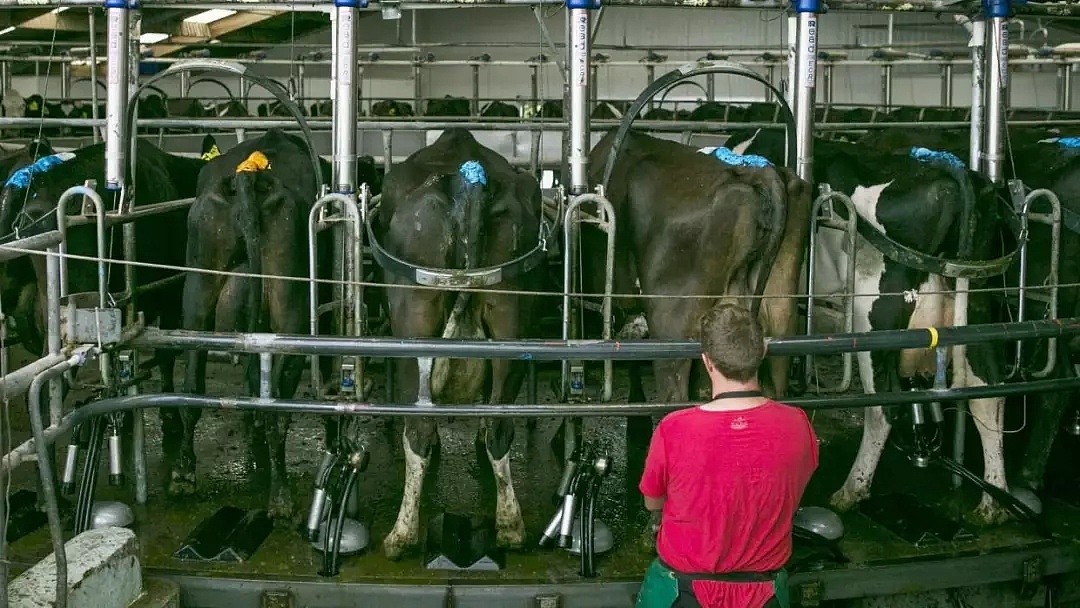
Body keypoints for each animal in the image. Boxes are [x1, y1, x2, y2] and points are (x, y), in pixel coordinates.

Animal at [179, 127, 334, 518]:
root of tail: (248, 176)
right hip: (290, 308)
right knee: (276, 406)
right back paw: (279, 496)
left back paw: (183, 474)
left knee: (191, 386)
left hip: (198, 286)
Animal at [373, 128, 548, 561]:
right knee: (500, 426)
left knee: (417, 431)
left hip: (415, 329)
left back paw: (401, 535)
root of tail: (468, 182)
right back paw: (510, 527)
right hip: (510, 323)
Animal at [725, 127, 1019, 522]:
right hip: (980, 308)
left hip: (874, 319)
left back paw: (852, 489)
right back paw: (993, 502)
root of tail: (952, 175)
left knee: (883, 406)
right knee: (989, 394)